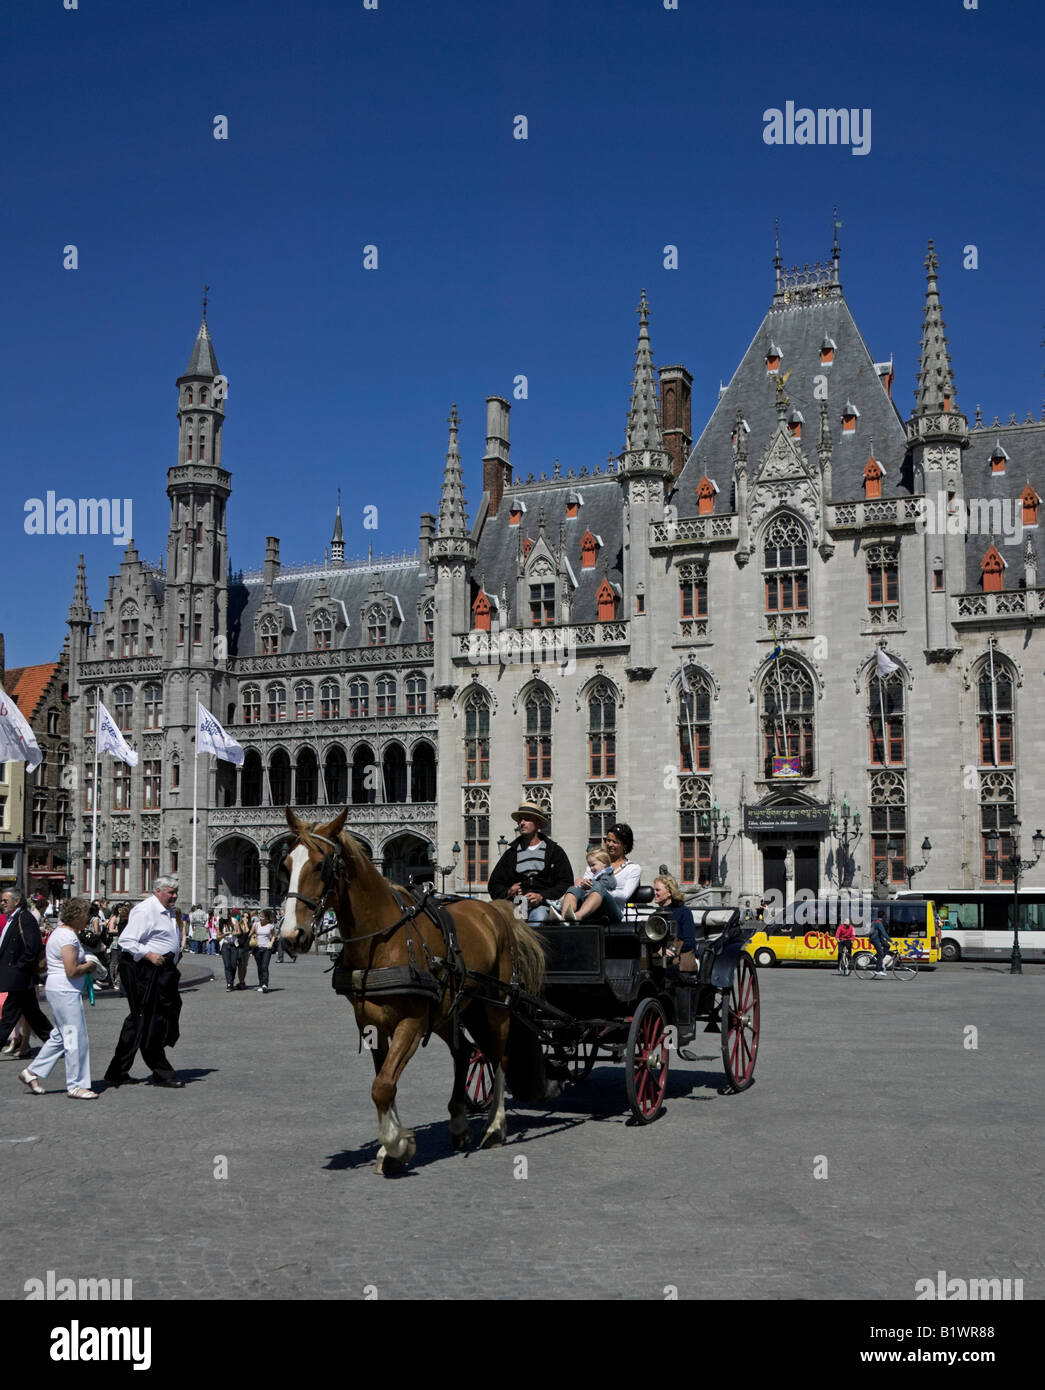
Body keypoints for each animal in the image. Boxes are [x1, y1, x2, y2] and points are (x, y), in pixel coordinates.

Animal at [282, 806, 550, 1173]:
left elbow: (382, 1085)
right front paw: (392, 1144)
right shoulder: (370, 1022)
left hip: (495, 1005)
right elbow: (384, 1081)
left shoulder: (411, 1021)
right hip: (449, 1008)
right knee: (466, 1052)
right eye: (286, 865)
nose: (290, 936)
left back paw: (495, 1127)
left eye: (321, 865)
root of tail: (494, 910)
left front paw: (396, 1146)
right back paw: (459, 1123)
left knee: (499, 1056)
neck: (381, 939)